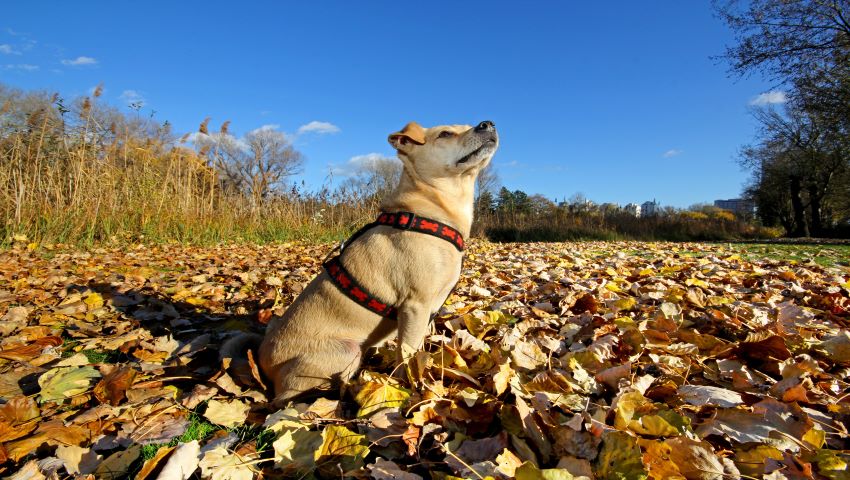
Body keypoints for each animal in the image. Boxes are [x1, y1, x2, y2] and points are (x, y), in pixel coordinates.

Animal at [258, 120, 496, 404]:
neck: (432, 212)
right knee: (287, 398)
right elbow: (408, 354)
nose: (488, 123)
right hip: (346, 351)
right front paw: (411, 386)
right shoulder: (415, 306)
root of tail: (264, 365)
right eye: (445, 134)